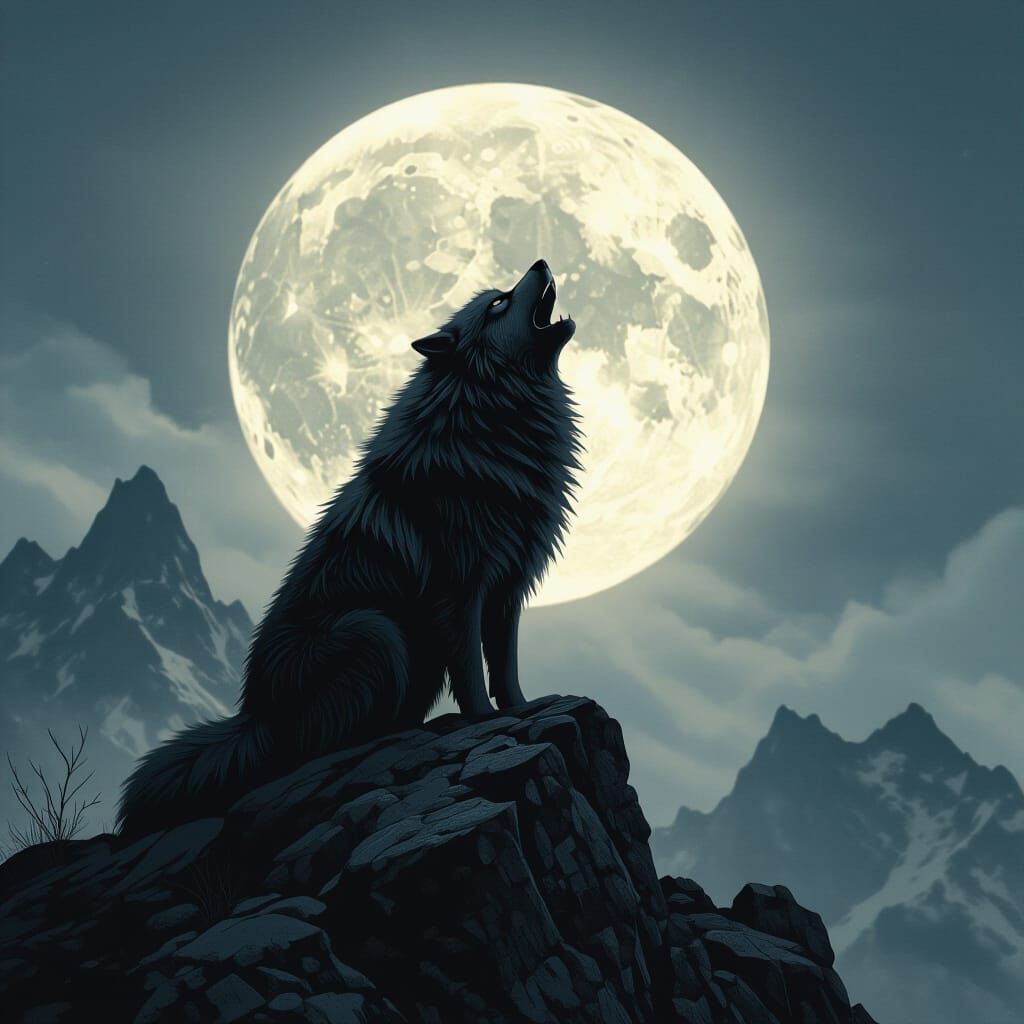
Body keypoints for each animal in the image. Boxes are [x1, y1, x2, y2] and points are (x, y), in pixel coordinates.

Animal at [116, 259, 583, 834]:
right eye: (497, 303)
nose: (539, 262)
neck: (489, 418)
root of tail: (254, 717)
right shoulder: (460, 591)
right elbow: (473, 670)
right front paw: (482, 721)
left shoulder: (508, 587)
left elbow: (506, 664)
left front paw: (521, 709)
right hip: (373, 630)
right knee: (318, 747)